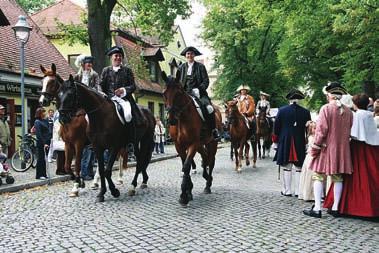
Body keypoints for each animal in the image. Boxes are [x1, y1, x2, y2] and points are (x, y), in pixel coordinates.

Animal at [162, 71, 221, 206]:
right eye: (164, 93)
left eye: (178, 93)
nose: (171, 119)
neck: (182, 119)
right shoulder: (179, 146)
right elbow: (185, 165)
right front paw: (188, 191)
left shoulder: (193, 144)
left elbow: (187, 166)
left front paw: (184, 195)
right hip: (201, 144)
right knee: (205, 158)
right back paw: (205, 176)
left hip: (211, 143)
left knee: (211, 160)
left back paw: (208, 185)